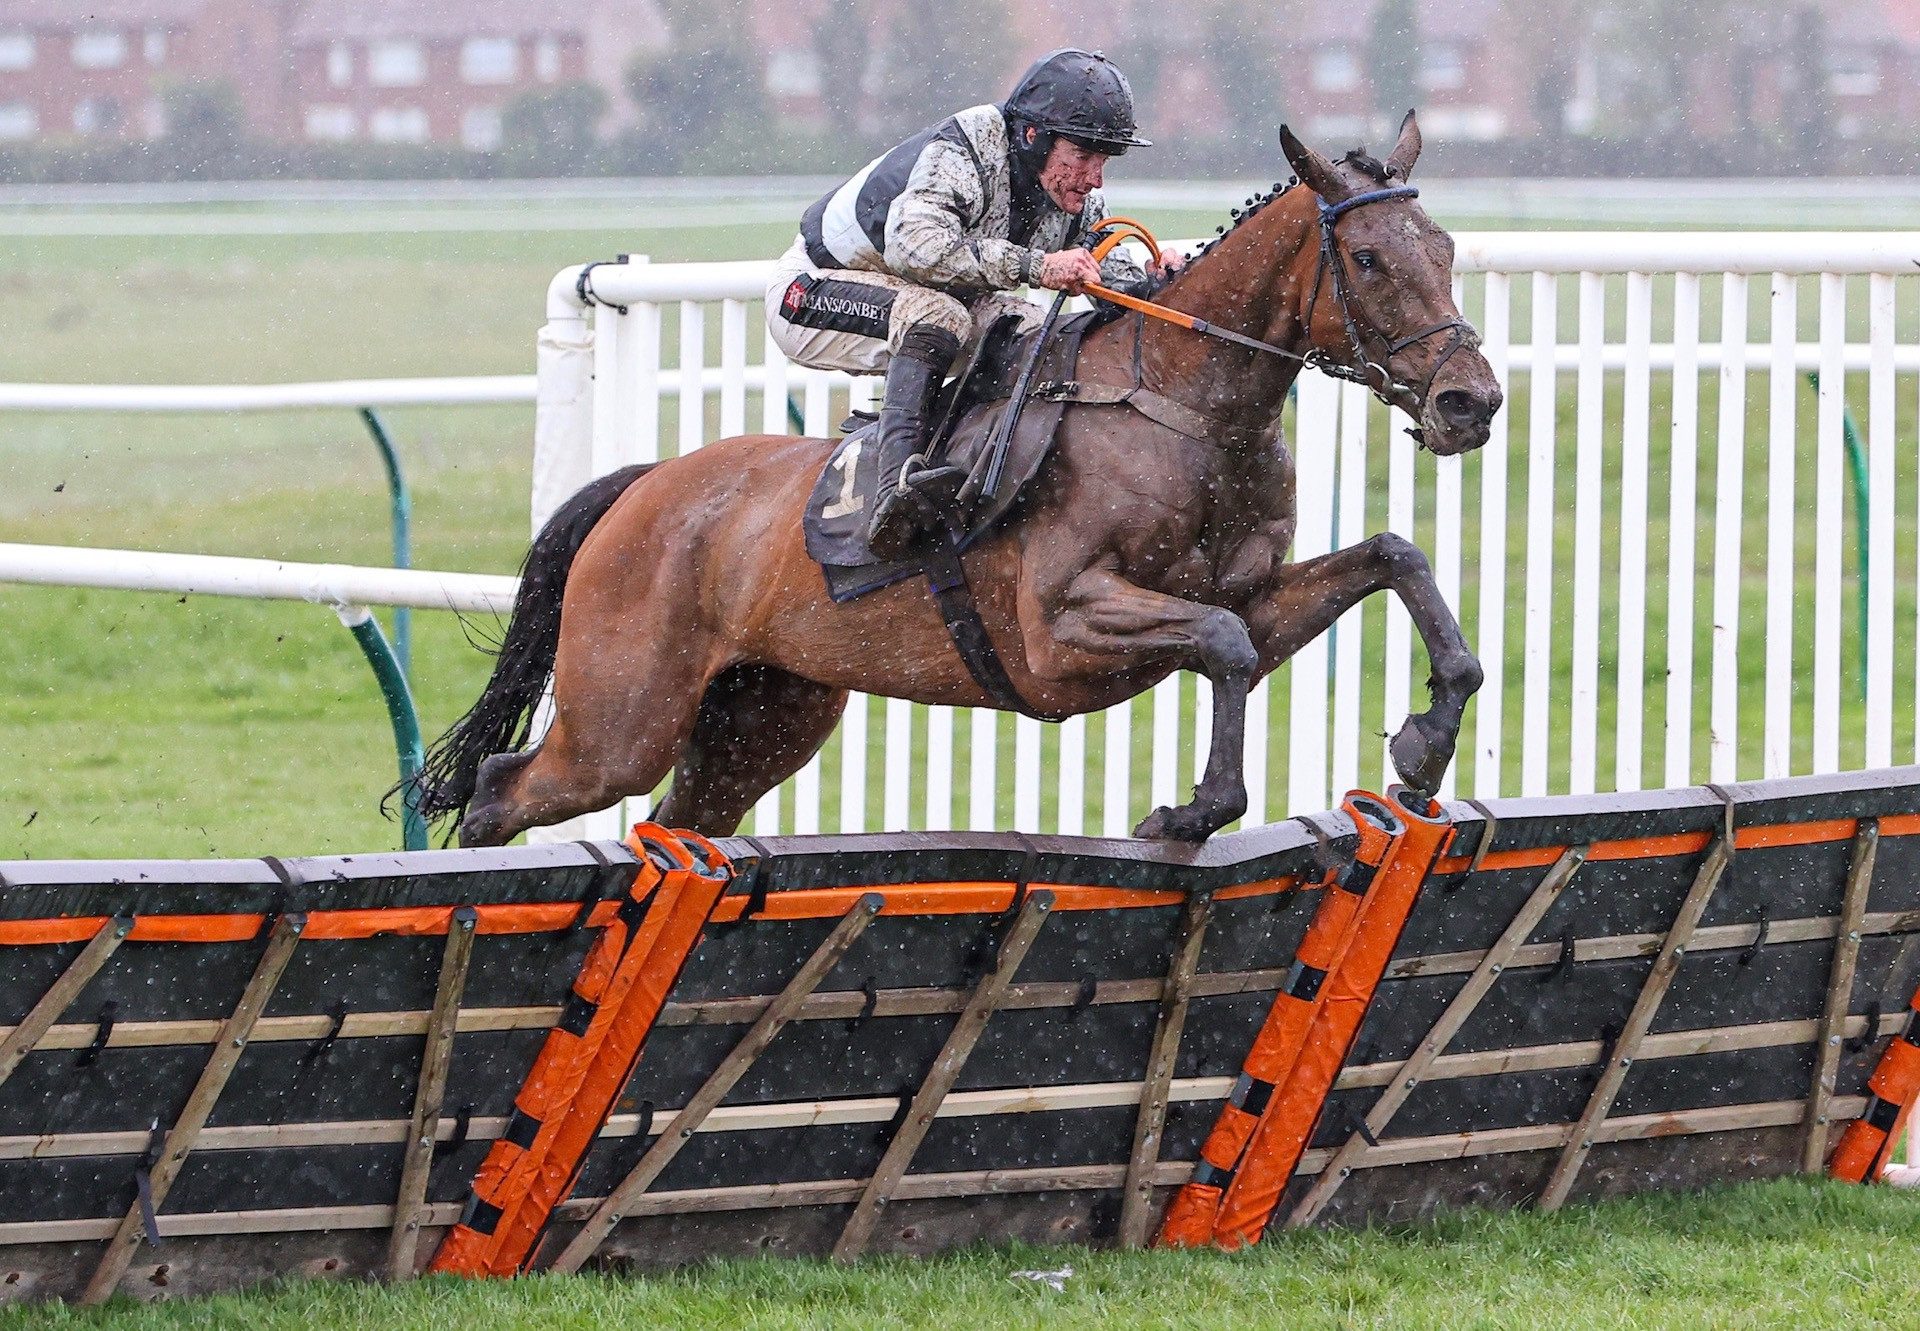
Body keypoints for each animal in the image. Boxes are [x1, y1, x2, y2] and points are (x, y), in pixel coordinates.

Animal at [416, 114, 1497, 841]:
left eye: (1445, 249)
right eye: (1368, 257)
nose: (1470, 402)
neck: (1180, 407)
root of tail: (646, 485)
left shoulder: (1257, 599)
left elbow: (1387, 560)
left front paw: (1424, 740)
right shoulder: (1059, 631)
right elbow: (1223, 645)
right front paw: (1196, 809)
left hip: (760, 718)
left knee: (675, 821)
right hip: (622, 717)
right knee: (505, 788)